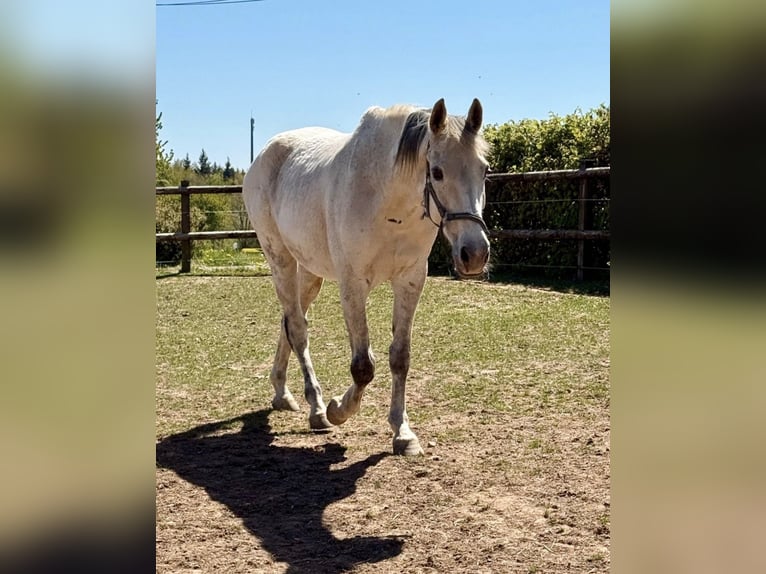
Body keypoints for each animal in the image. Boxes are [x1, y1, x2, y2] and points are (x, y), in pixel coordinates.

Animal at [242, 98, 490, 455]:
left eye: (484, 169)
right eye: (437, 172)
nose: (475, 254)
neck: (388, 203)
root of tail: (264, 154)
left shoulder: (411, 280)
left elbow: (400, 357)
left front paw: (403, 432)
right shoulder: (353, 285)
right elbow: (363, 366)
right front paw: (338, 409)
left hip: (310, 271)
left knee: (289, 321)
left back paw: (282, 393)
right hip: (281, 260)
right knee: (299, 330)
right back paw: (317, 409)